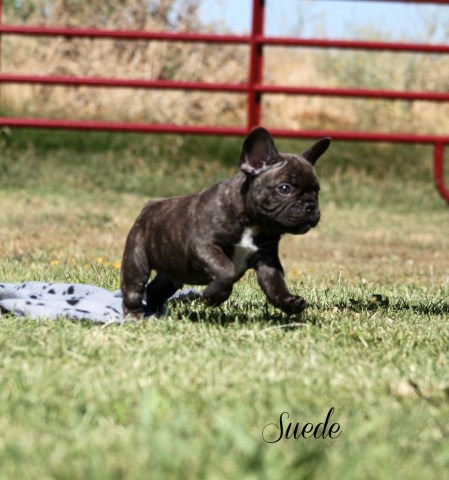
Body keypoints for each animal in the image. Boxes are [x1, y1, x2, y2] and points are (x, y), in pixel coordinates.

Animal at [119, 125, 328, 316]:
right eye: (285, 188)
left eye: (317, 192)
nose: (310, 205)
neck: (252, 222)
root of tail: (149, 206)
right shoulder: (204, 246)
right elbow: (226, 269)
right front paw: (213, 296)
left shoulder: (266, 259)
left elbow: (276, 283)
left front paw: (289, 302)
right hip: (137, 261)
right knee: (134, 290)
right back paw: (136, 315)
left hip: (171, 274)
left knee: (156, 290)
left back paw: (155, 313)